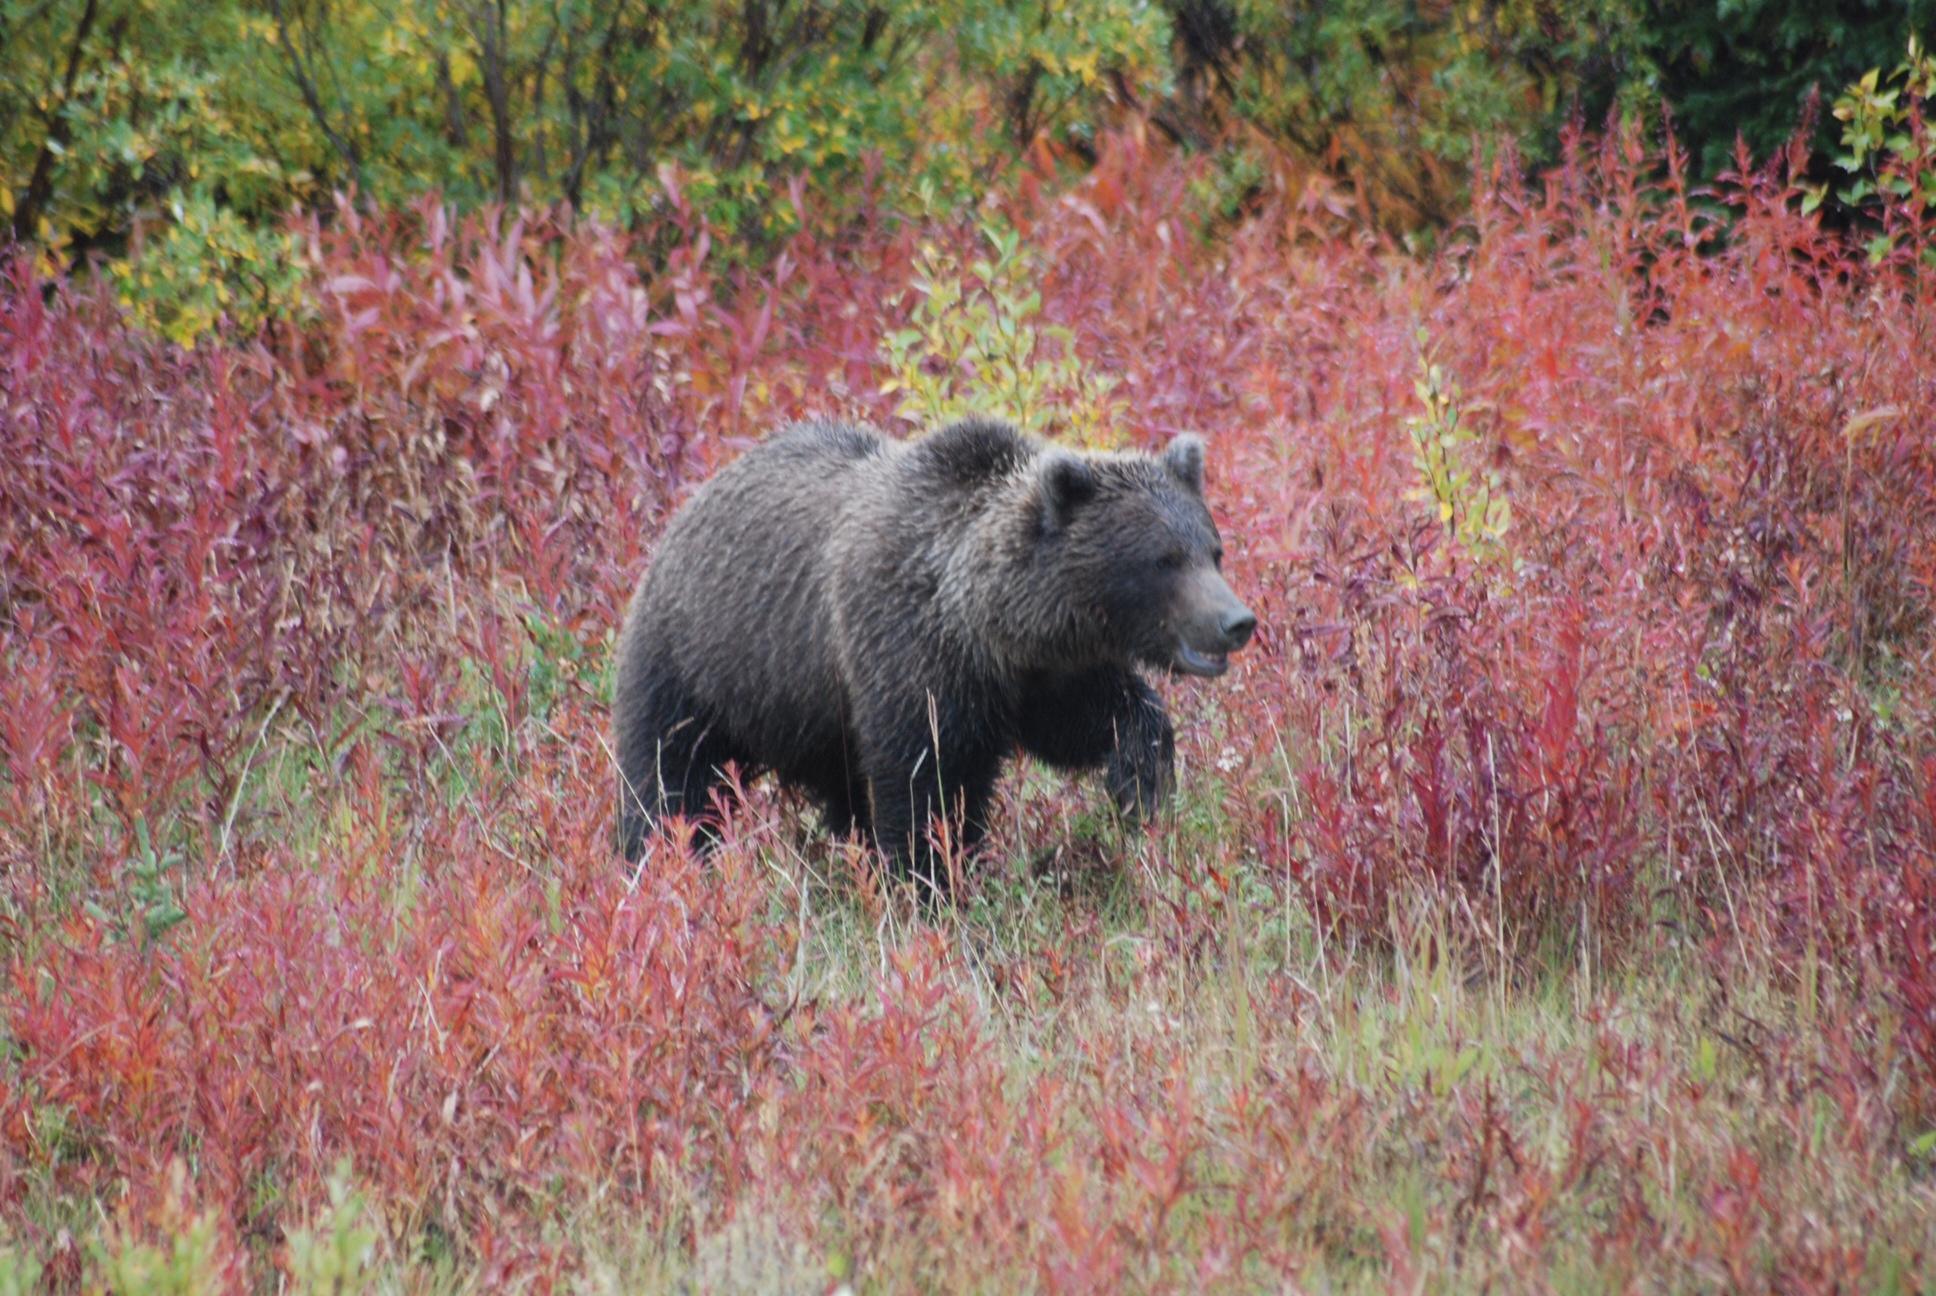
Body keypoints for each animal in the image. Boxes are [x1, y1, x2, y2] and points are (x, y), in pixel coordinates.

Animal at [611, 416, 1262, 891]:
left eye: (1213, 550)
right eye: (1164, 560)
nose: (1236, 621)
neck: (984, 625)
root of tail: (684, 510)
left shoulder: (1040, 676)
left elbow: (1101, 717)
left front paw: (1141, 785)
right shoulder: (907, 656)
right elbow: (924, 785)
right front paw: (932, 882)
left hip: (814, 716)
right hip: (700, 665)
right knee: (670, 781)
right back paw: (656, 866)